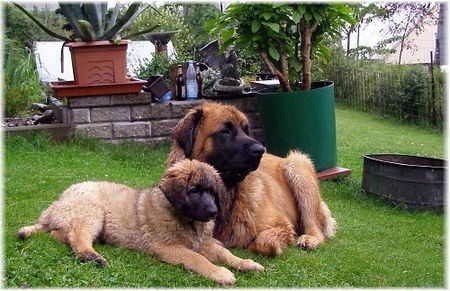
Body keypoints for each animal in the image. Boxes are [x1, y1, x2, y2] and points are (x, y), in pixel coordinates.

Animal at [18, 160, 264, 286]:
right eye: (194, 191)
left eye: (213, 193)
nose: (213, 212)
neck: (186, 219)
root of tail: (57, 202)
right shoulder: (168, 247)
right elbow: (197, 259)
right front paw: (220, 273)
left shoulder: (204, 242)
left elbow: (225, 253)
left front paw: (245, 263)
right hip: (91, 212)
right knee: (77, 238)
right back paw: (93, 257)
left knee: (60, 234)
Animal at [167, 104, 336, 256]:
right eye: (225, 131)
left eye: (246, 130)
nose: (260, 150)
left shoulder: (281, 224)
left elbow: (263, 242)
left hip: (297, 165)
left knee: (314, 226)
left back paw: (310, 239)